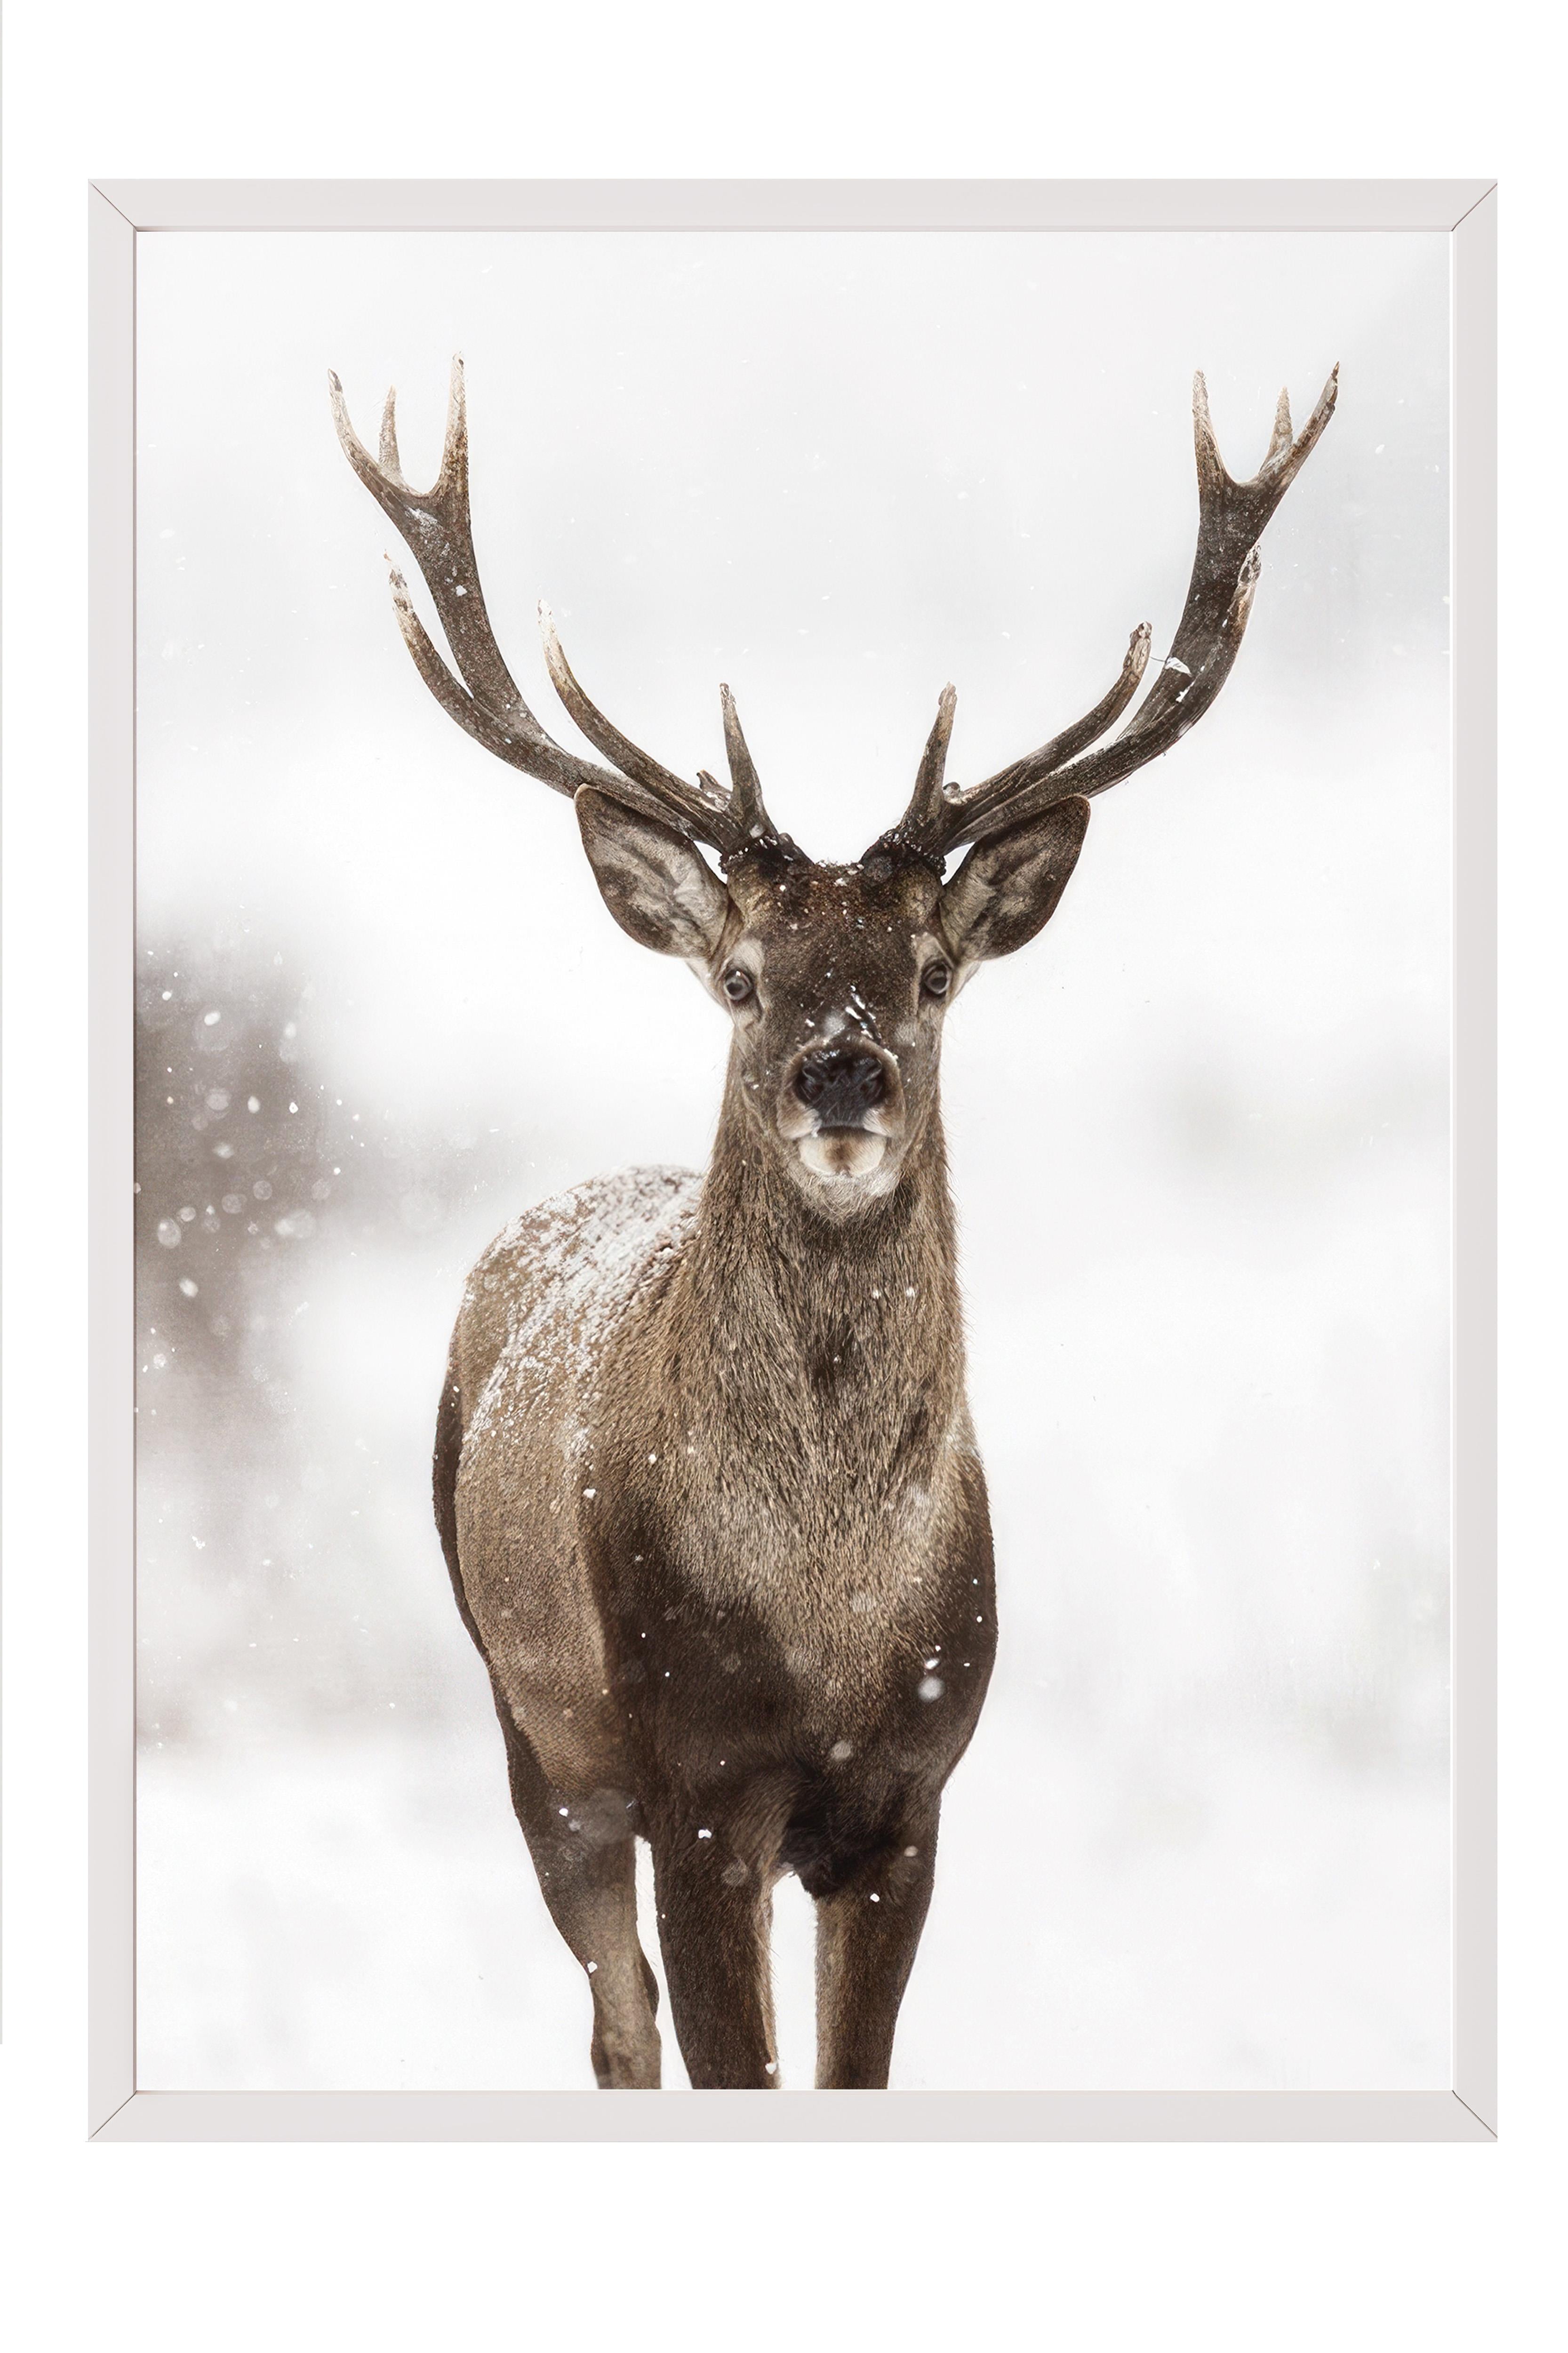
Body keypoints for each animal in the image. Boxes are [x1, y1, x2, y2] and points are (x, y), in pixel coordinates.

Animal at [329, 356, 1336, 2090]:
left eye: (931, 974)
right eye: (741, 978)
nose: (842, 1067)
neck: (831, 1622)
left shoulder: (911, 1792)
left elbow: (851, 2072)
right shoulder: (693, 1782)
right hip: (531, 1728)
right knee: (615, 2027)